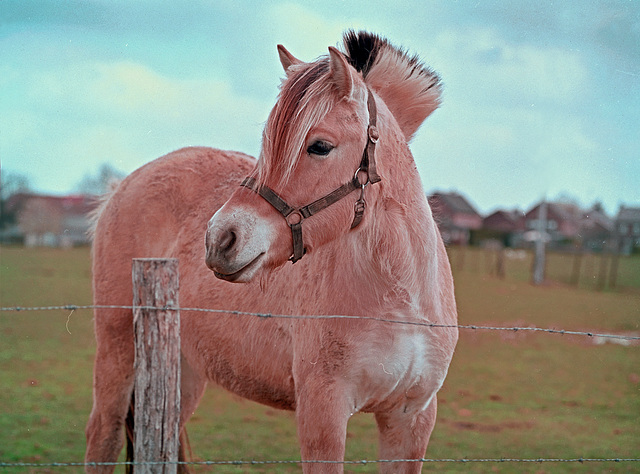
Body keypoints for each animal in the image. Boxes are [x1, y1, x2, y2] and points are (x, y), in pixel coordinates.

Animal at [85, 31, 458, 472]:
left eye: (319, 146)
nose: (219, 239)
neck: (400, 297)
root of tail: (121, 186)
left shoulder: (411, 419)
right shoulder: (322, 415)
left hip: (183, 371)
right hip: (118, 353)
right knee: (102, 435)